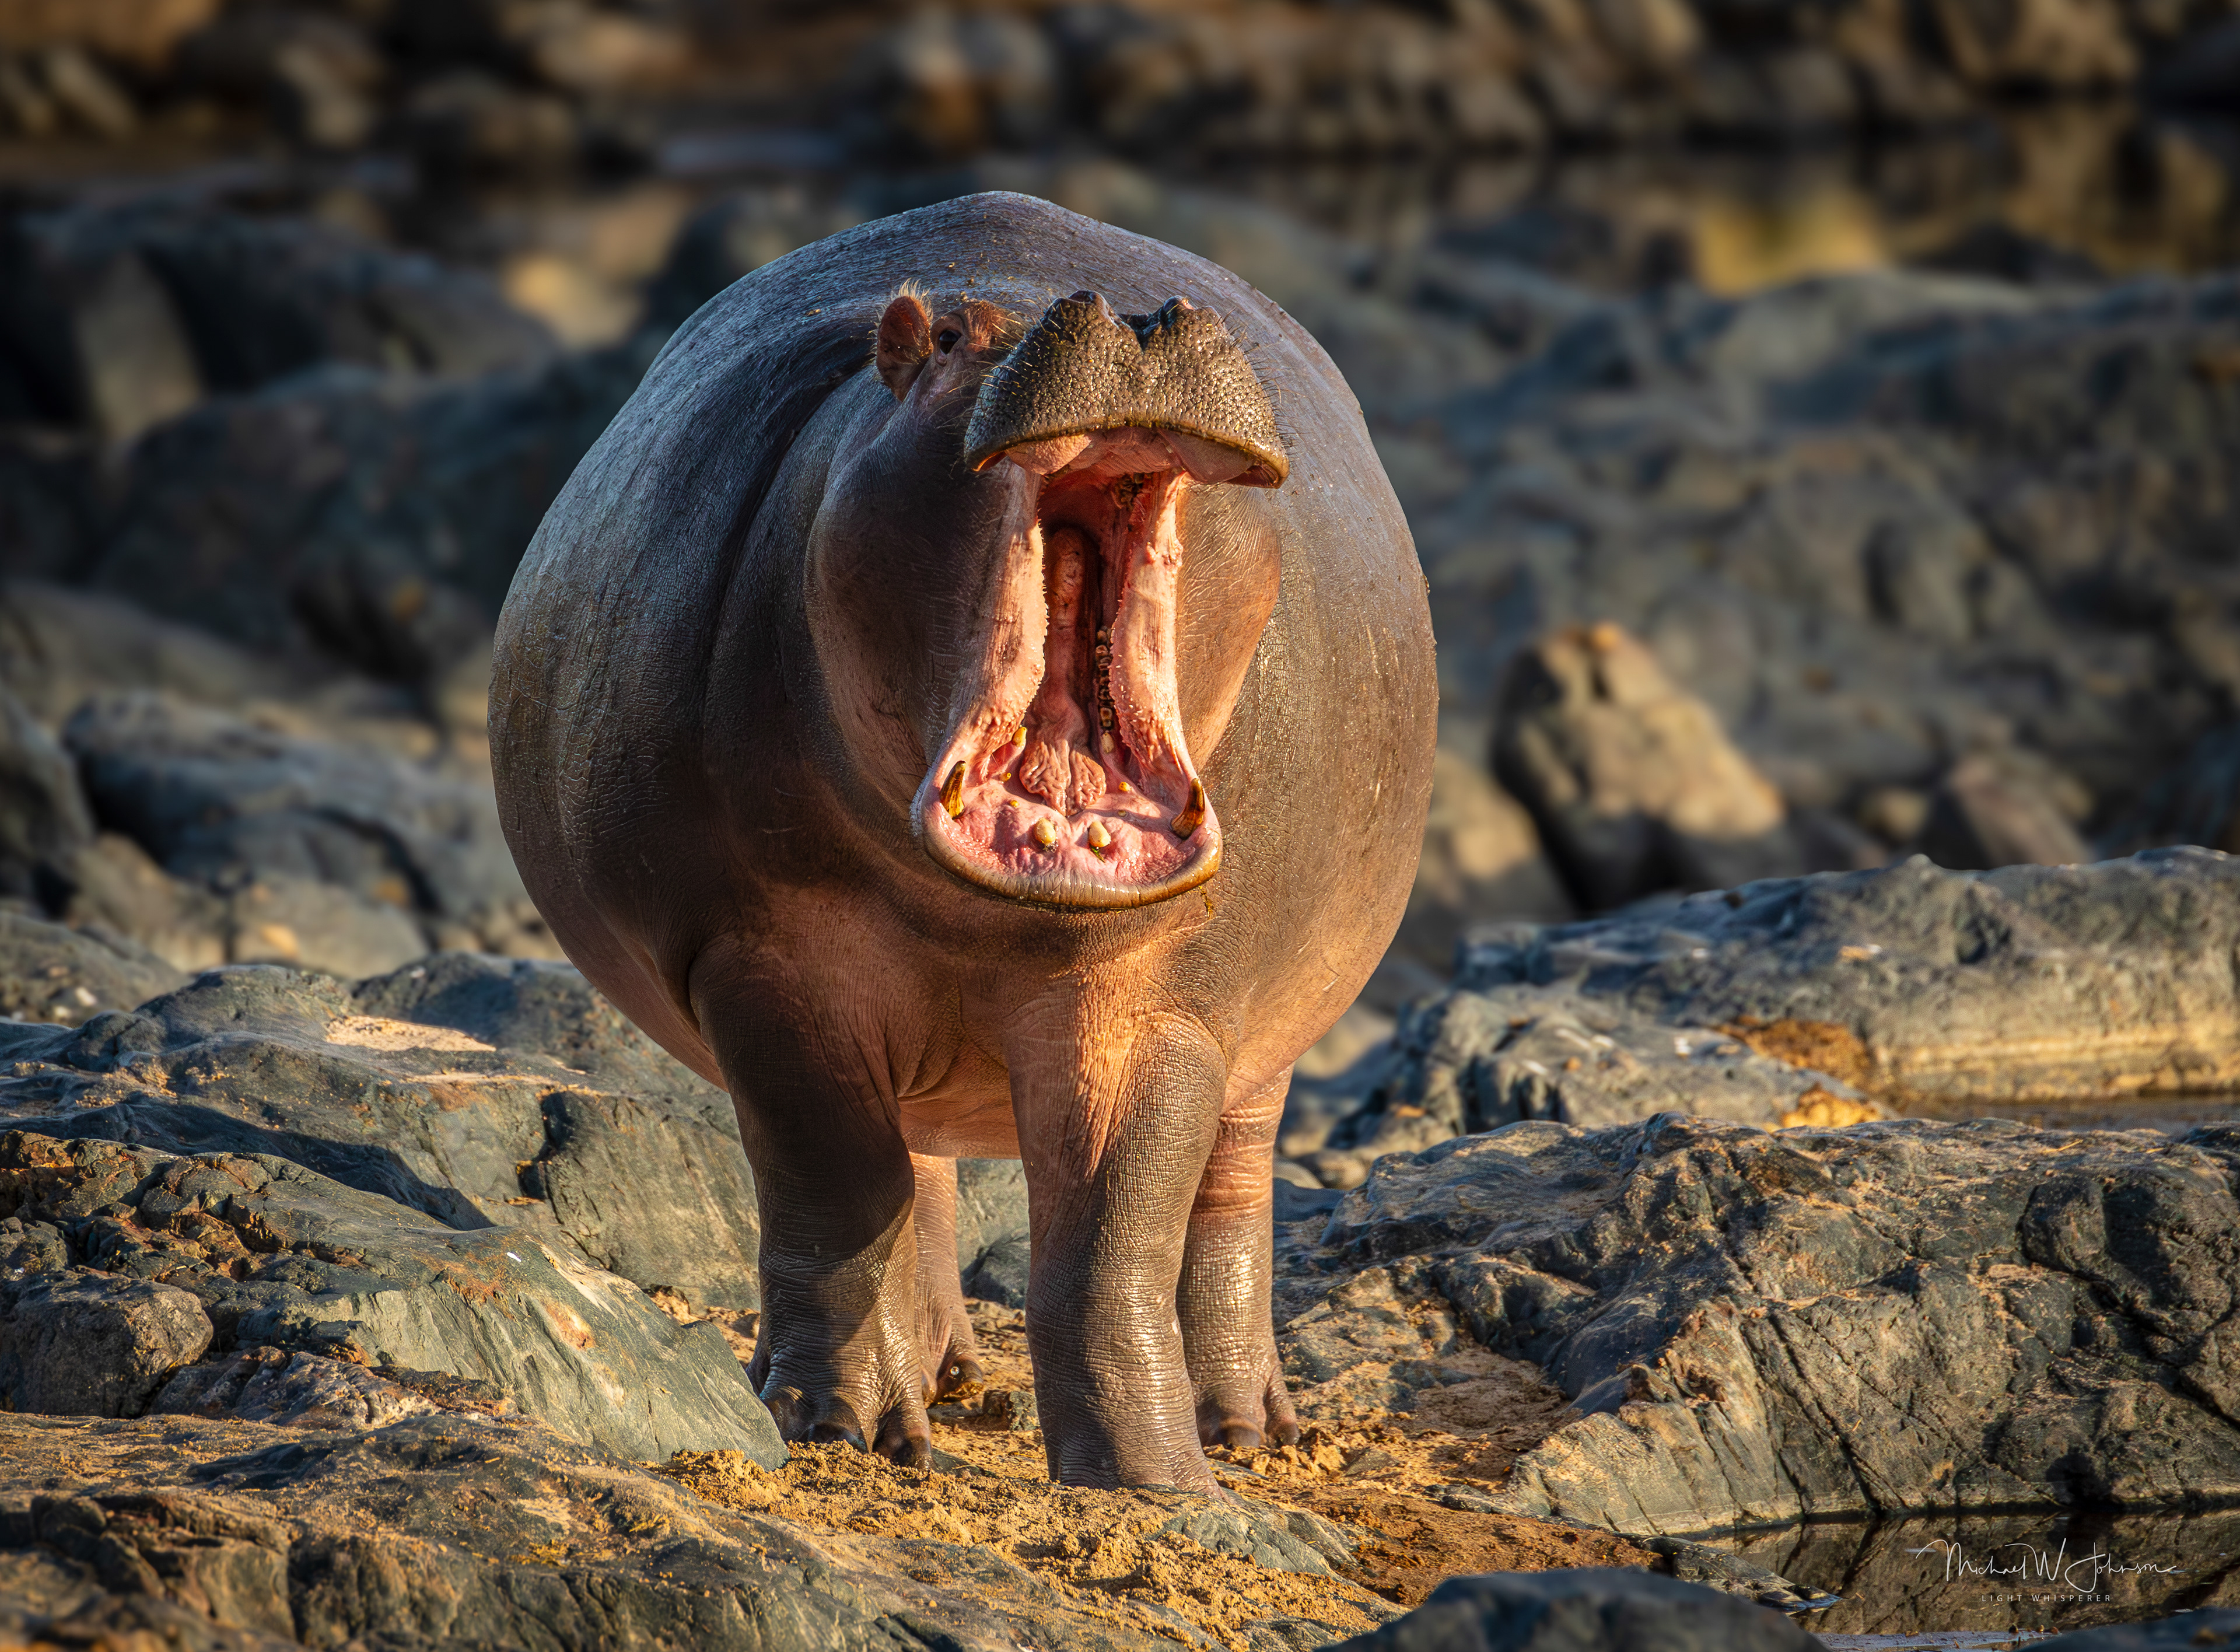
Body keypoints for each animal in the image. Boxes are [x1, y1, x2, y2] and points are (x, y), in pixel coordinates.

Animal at [490, 192, 1435, 1491]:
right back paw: (920, 1395)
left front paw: (1155, 1480)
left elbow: (1115, 1240)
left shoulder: (1170, 1001)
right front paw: (832, 1423)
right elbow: (840, 1192)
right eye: (947, 337)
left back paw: (1249, 1429)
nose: (1140, 319)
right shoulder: (765, 966)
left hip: (1278, 1029)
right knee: (916, 1180)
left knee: (1232, 1194)